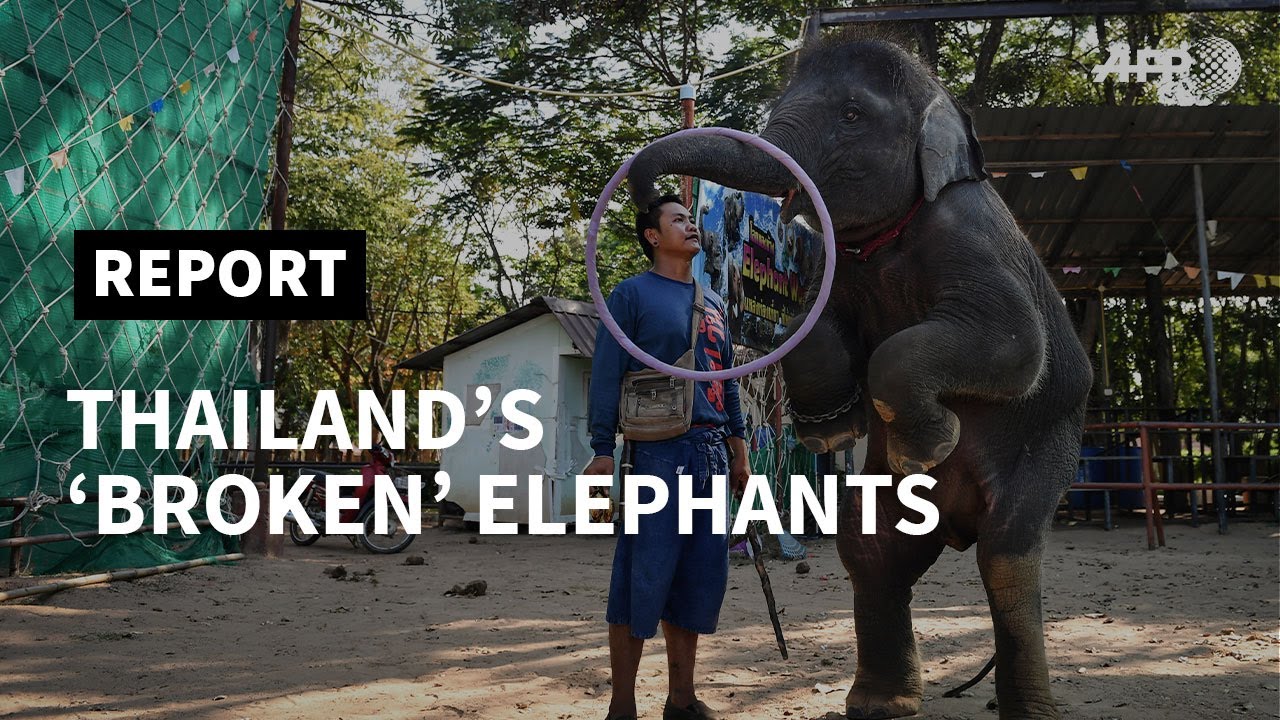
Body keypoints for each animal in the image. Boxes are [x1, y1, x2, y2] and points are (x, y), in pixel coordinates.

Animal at [627, 39, 1092, 720]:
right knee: (870, 550)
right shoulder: (834, 264)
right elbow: (810, 327)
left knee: (1006, 553)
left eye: (851, 115)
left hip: (1050, 448)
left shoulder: (970, 237)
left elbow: (1013, 346)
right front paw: (833, 430)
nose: (651, 197)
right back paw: (879, 703)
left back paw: (1026, 708)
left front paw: (929, 441)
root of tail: (955, 524)